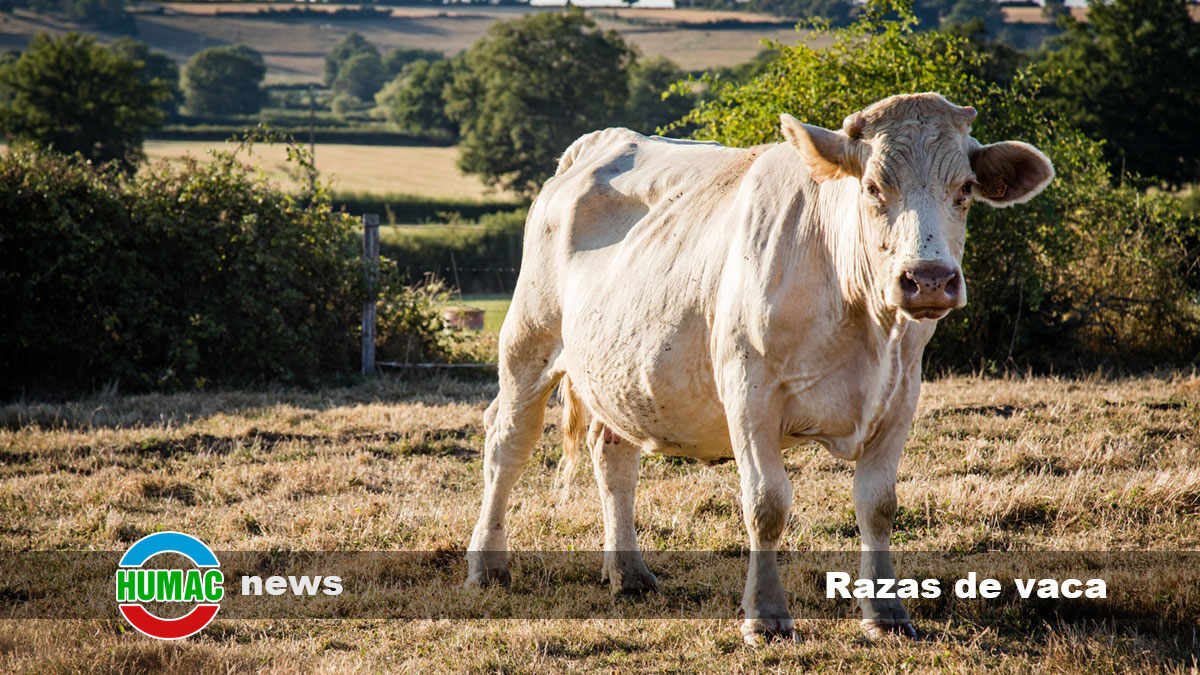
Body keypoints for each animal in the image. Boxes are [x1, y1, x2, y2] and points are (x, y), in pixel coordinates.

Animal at [463, 91, 1056, 638]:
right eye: (872, 188)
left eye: (965, 190)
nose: (929, 279)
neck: (859, 316)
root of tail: (602, 142)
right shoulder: (750, 394)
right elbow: (766, 505)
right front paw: (766, 616)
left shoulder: (900, 394)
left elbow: (878, 505)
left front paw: (886, 615)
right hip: (528, 341)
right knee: (506, 445)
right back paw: (487, 567)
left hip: (621, 370)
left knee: (613, 457)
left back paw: (629, 574)